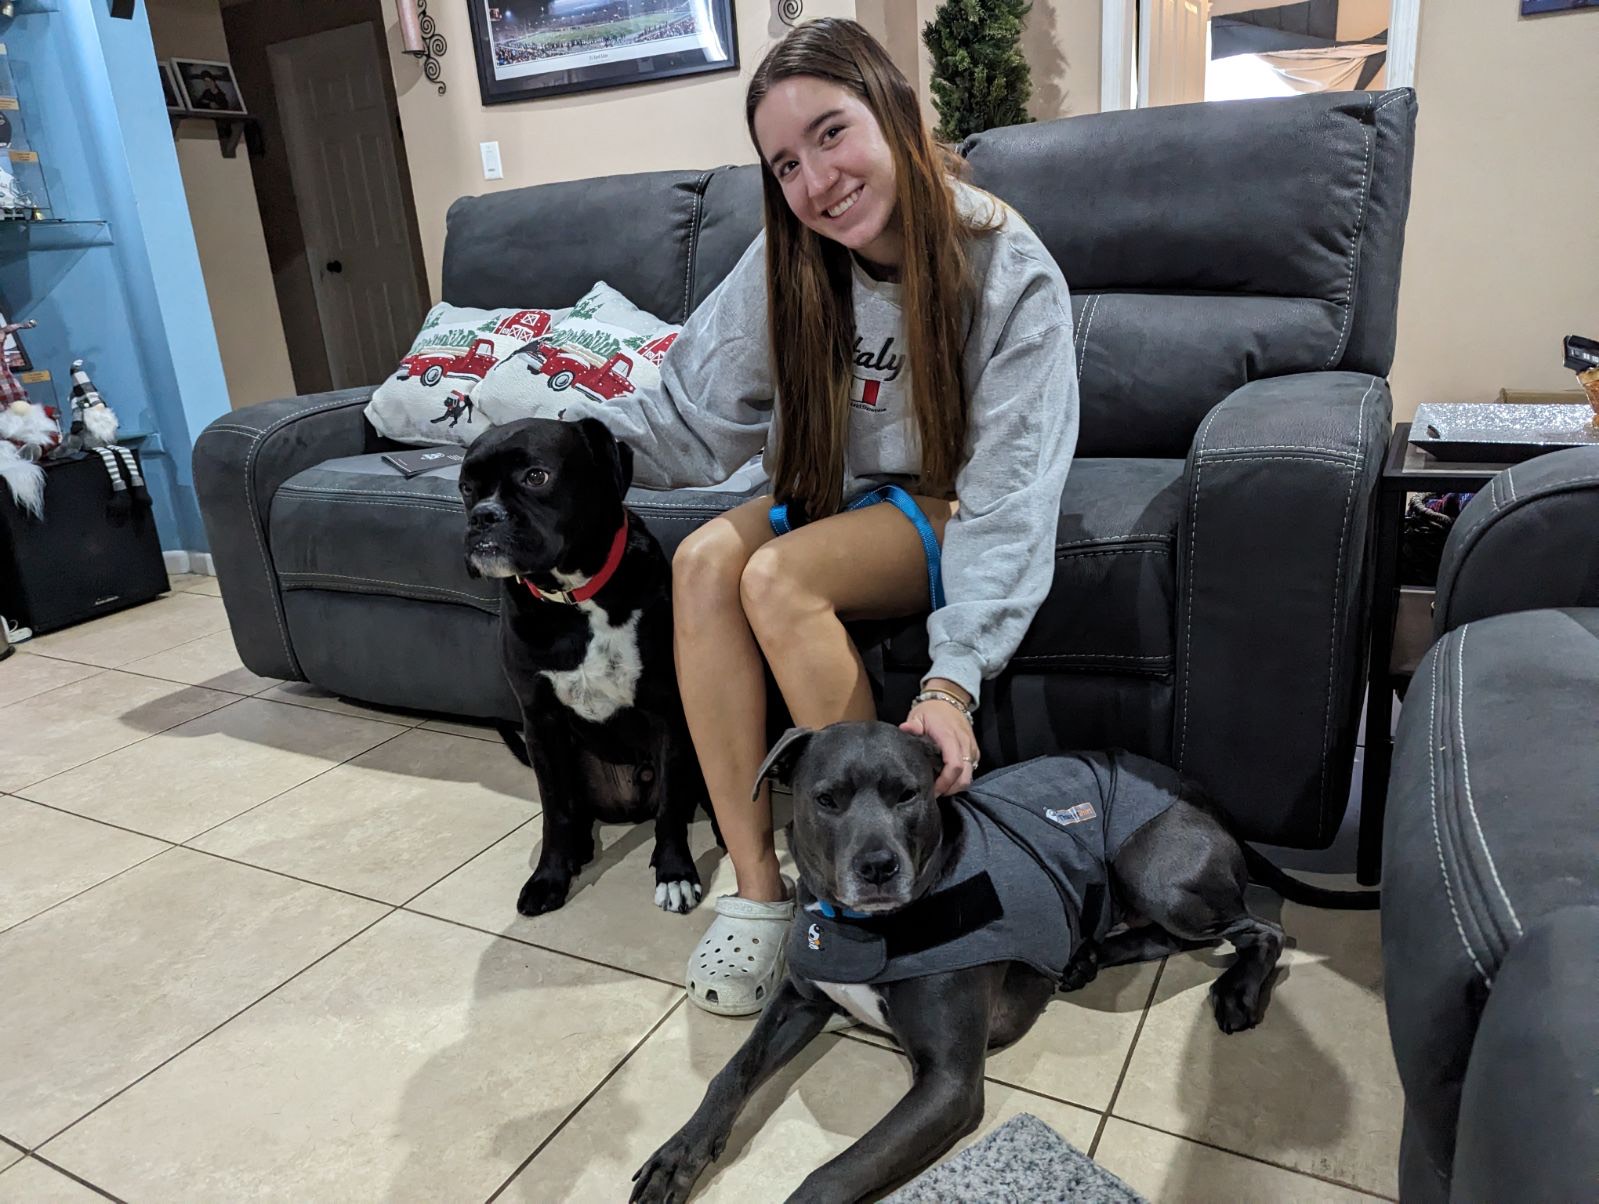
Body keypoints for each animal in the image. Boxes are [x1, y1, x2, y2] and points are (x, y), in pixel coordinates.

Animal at [463, 418, 713, 914]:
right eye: (465, 487)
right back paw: (576, 849)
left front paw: (675, 873)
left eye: (536, 476)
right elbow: (554, 810)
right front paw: (549, 877)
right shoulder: (540, 723)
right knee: (572, 811)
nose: (482, 515)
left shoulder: (667, 713)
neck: (574, 597)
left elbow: (671, 807)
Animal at [630, 722, 1291, 1202]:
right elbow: (730, 1074)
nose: (877, 867)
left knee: (1261, 928)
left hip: (1155, 872)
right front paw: (678, 1154)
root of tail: (1198, 792)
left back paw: (1238, 991)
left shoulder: (948, 1085)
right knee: (1168, 936)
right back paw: (1089, 955)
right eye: (826, 800)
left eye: (908, 793)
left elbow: (831, 1175)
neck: (868, 929)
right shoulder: (800, 1000)